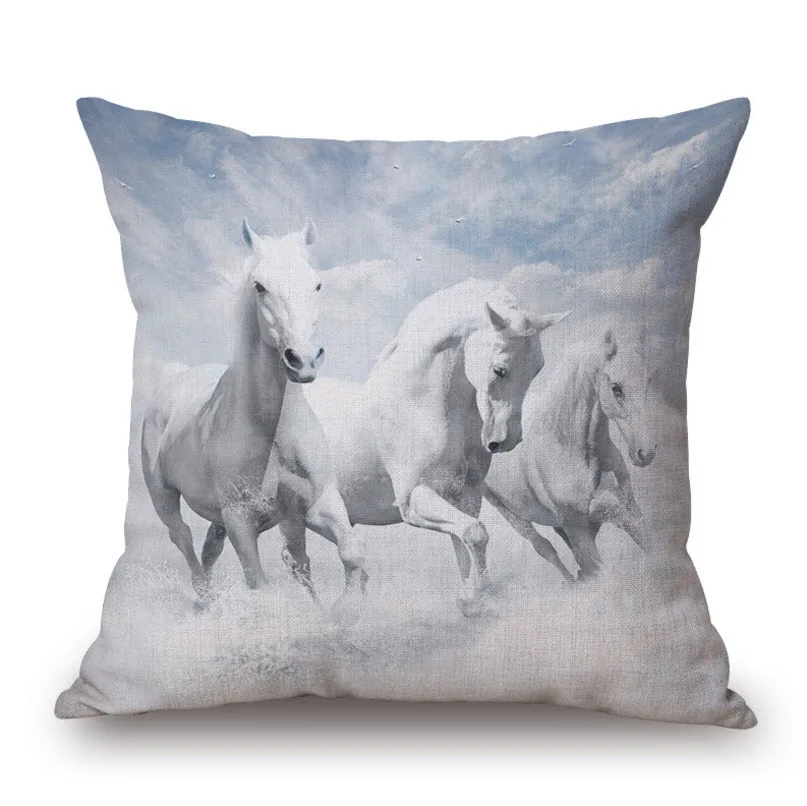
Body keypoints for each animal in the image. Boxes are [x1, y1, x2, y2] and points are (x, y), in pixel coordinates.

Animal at [141, 220, 367, 624]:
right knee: (182, 537)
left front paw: (339, 610)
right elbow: (260, 584)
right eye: (260, 286)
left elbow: (346, 554)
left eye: (317, 284)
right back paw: (205, 600)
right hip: (163, 496)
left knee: (212, 549)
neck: (270, 431)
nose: (303, 360)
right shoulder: (240, 520)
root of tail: (175, 376)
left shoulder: (315, 505)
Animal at [303, 279, 569, 615]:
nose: (506, 440)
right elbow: (475, 533)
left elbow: (465, 541)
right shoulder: (413, 498)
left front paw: (472, 598)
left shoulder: (464, 495)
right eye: (499, 369)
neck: (418, 403)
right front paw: (477, 596)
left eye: (537, 368)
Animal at [482, 330, 657, 582]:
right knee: (545, 548)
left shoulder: (628, 513)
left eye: (648, 381)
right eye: (616, 388)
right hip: (508, 512)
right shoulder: (579, 530)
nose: (646, 452)